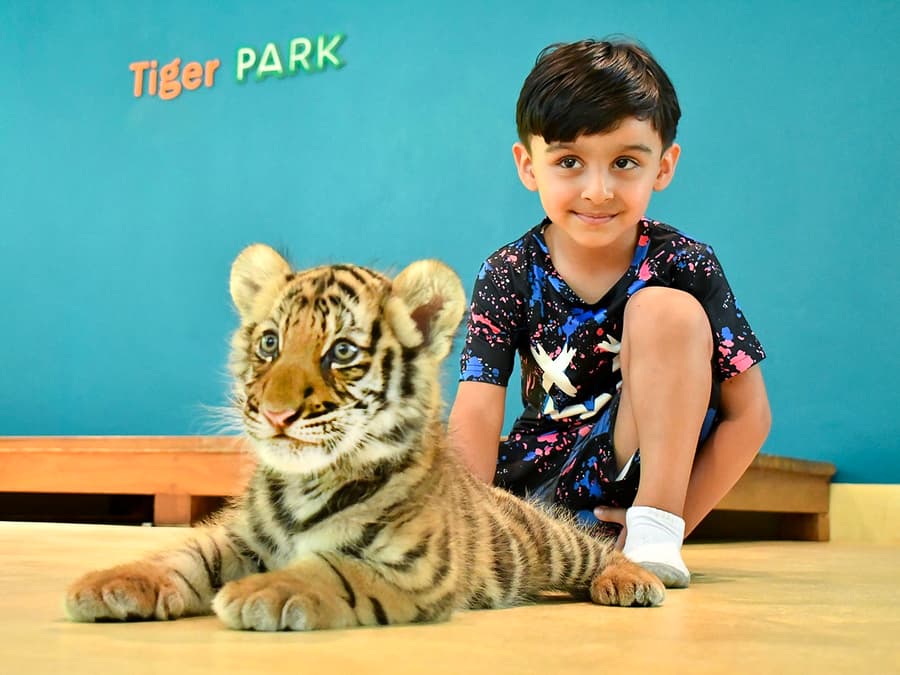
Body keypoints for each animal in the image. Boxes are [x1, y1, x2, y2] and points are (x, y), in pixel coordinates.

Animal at [64, 243, 665, 631]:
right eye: (269, 343)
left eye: (342, 352)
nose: (277, 414)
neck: (304, 483)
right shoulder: (240, 539)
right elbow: (184, 555)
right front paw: (110, 583)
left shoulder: (418, 568)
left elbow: (333, 569)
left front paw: (260, 593)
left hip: (546, 541)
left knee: (592, 548)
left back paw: (637, 580)